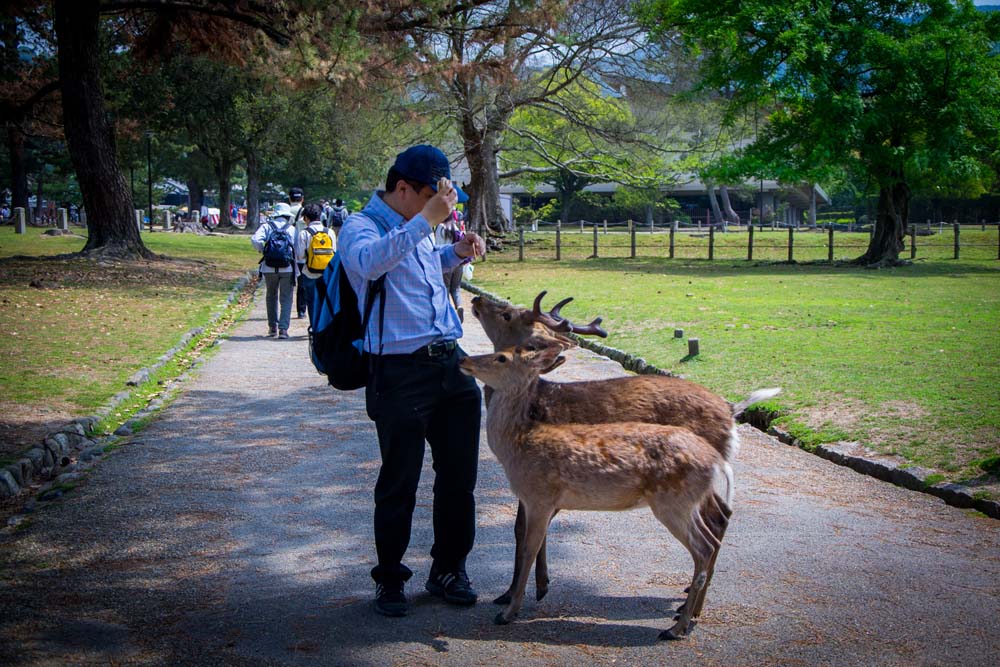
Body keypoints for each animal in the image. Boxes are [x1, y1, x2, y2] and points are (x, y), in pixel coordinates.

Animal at [458, 348, 728, 640]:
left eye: (502, 357)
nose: (464, 360)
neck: (517, 448)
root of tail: (715, 459)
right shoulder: (540, 501)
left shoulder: (540, 495)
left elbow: (530, 548)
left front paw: (508, 612)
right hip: (687, 503)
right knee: (712, 538)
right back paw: (688, 617)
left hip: (673, 502)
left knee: (703, 547)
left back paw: (676, 628)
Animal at [470, 292, 780, 612]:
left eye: (507, 314)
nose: (477, 299)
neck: (533, 404)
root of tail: (731, 411)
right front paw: (539, 586)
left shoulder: (541, 479)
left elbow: (522, 530)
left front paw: (513, 593)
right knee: (722, 513)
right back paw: (689, 599)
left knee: (716, 519)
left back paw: (688, 606)